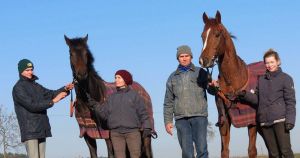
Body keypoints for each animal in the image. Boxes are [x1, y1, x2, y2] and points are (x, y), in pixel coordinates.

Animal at [199, 10, 264, 157]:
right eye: (202, 36)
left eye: (217, 34)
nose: (203, 60)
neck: (233, 81)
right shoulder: (224, 121)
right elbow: (225, 151)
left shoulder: (251, 122)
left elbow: (252, 150)